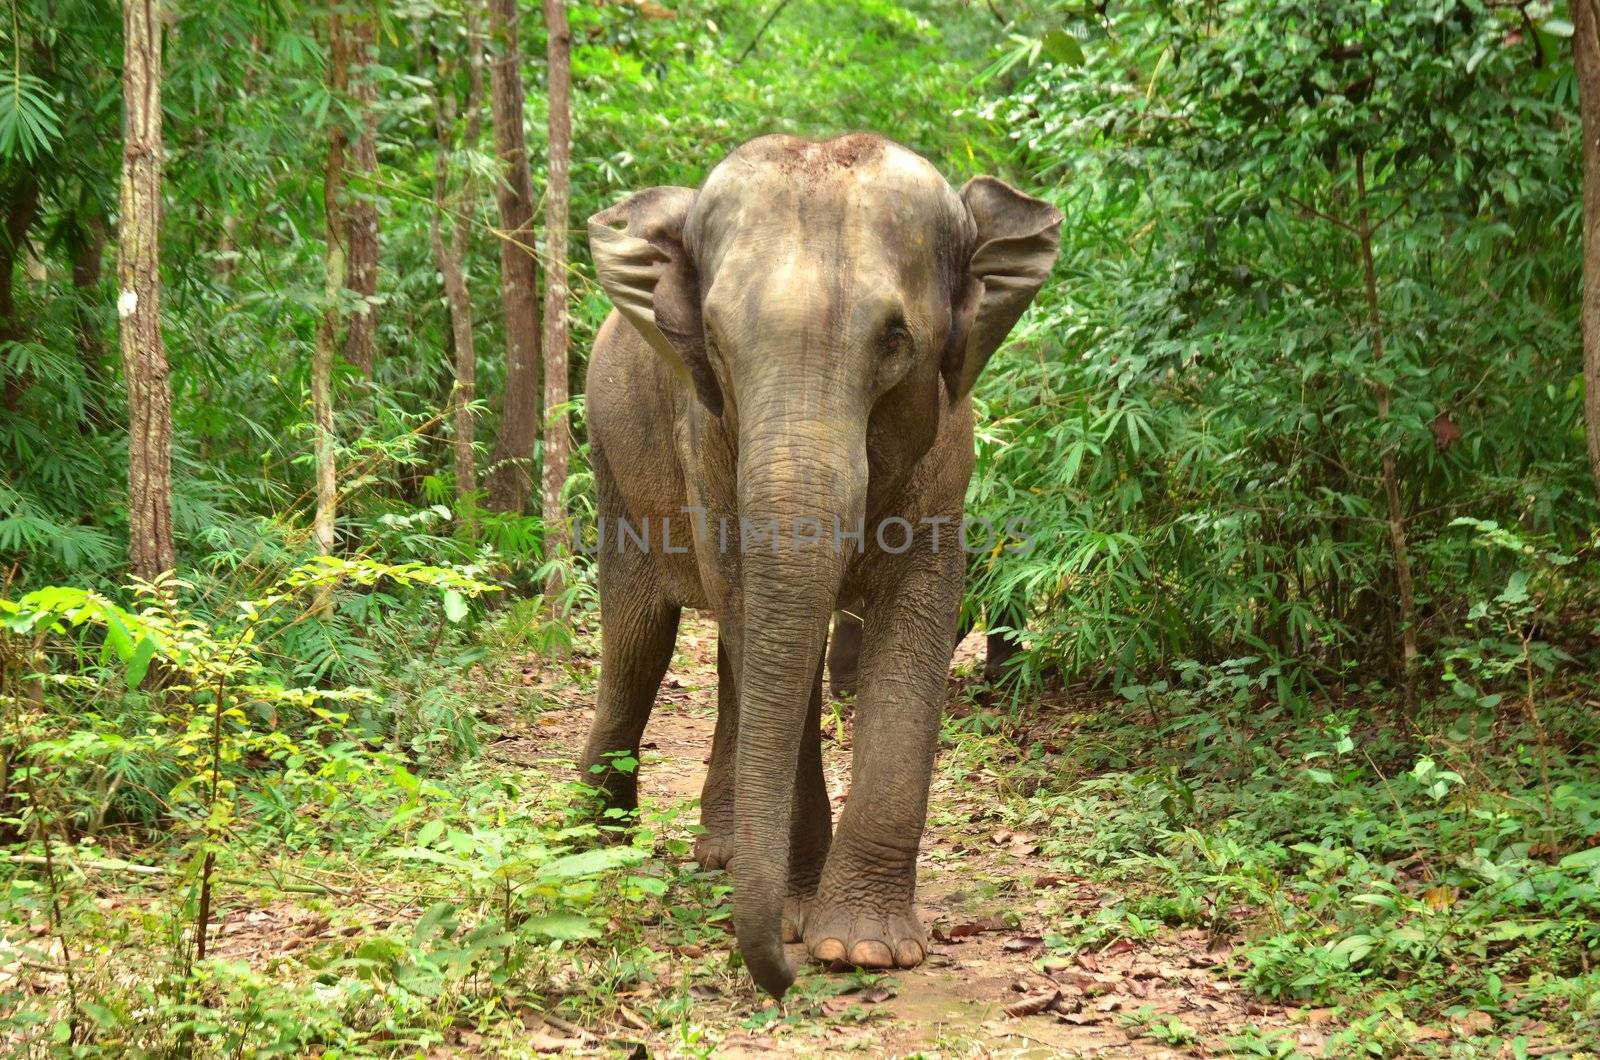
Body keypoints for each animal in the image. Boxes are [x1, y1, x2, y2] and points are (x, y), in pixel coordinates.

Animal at [576, 130, 1062, 999]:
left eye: (897, 340)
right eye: (715, 342)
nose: (780, 980)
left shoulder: (952, 450)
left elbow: (914, 624)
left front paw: (863, 947)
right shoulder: (704, 439)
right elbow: (748, 613)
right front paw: (804, 923)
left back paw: (721, 852)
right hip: (611, 460)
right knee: (637, 647)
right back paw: (589, 848)